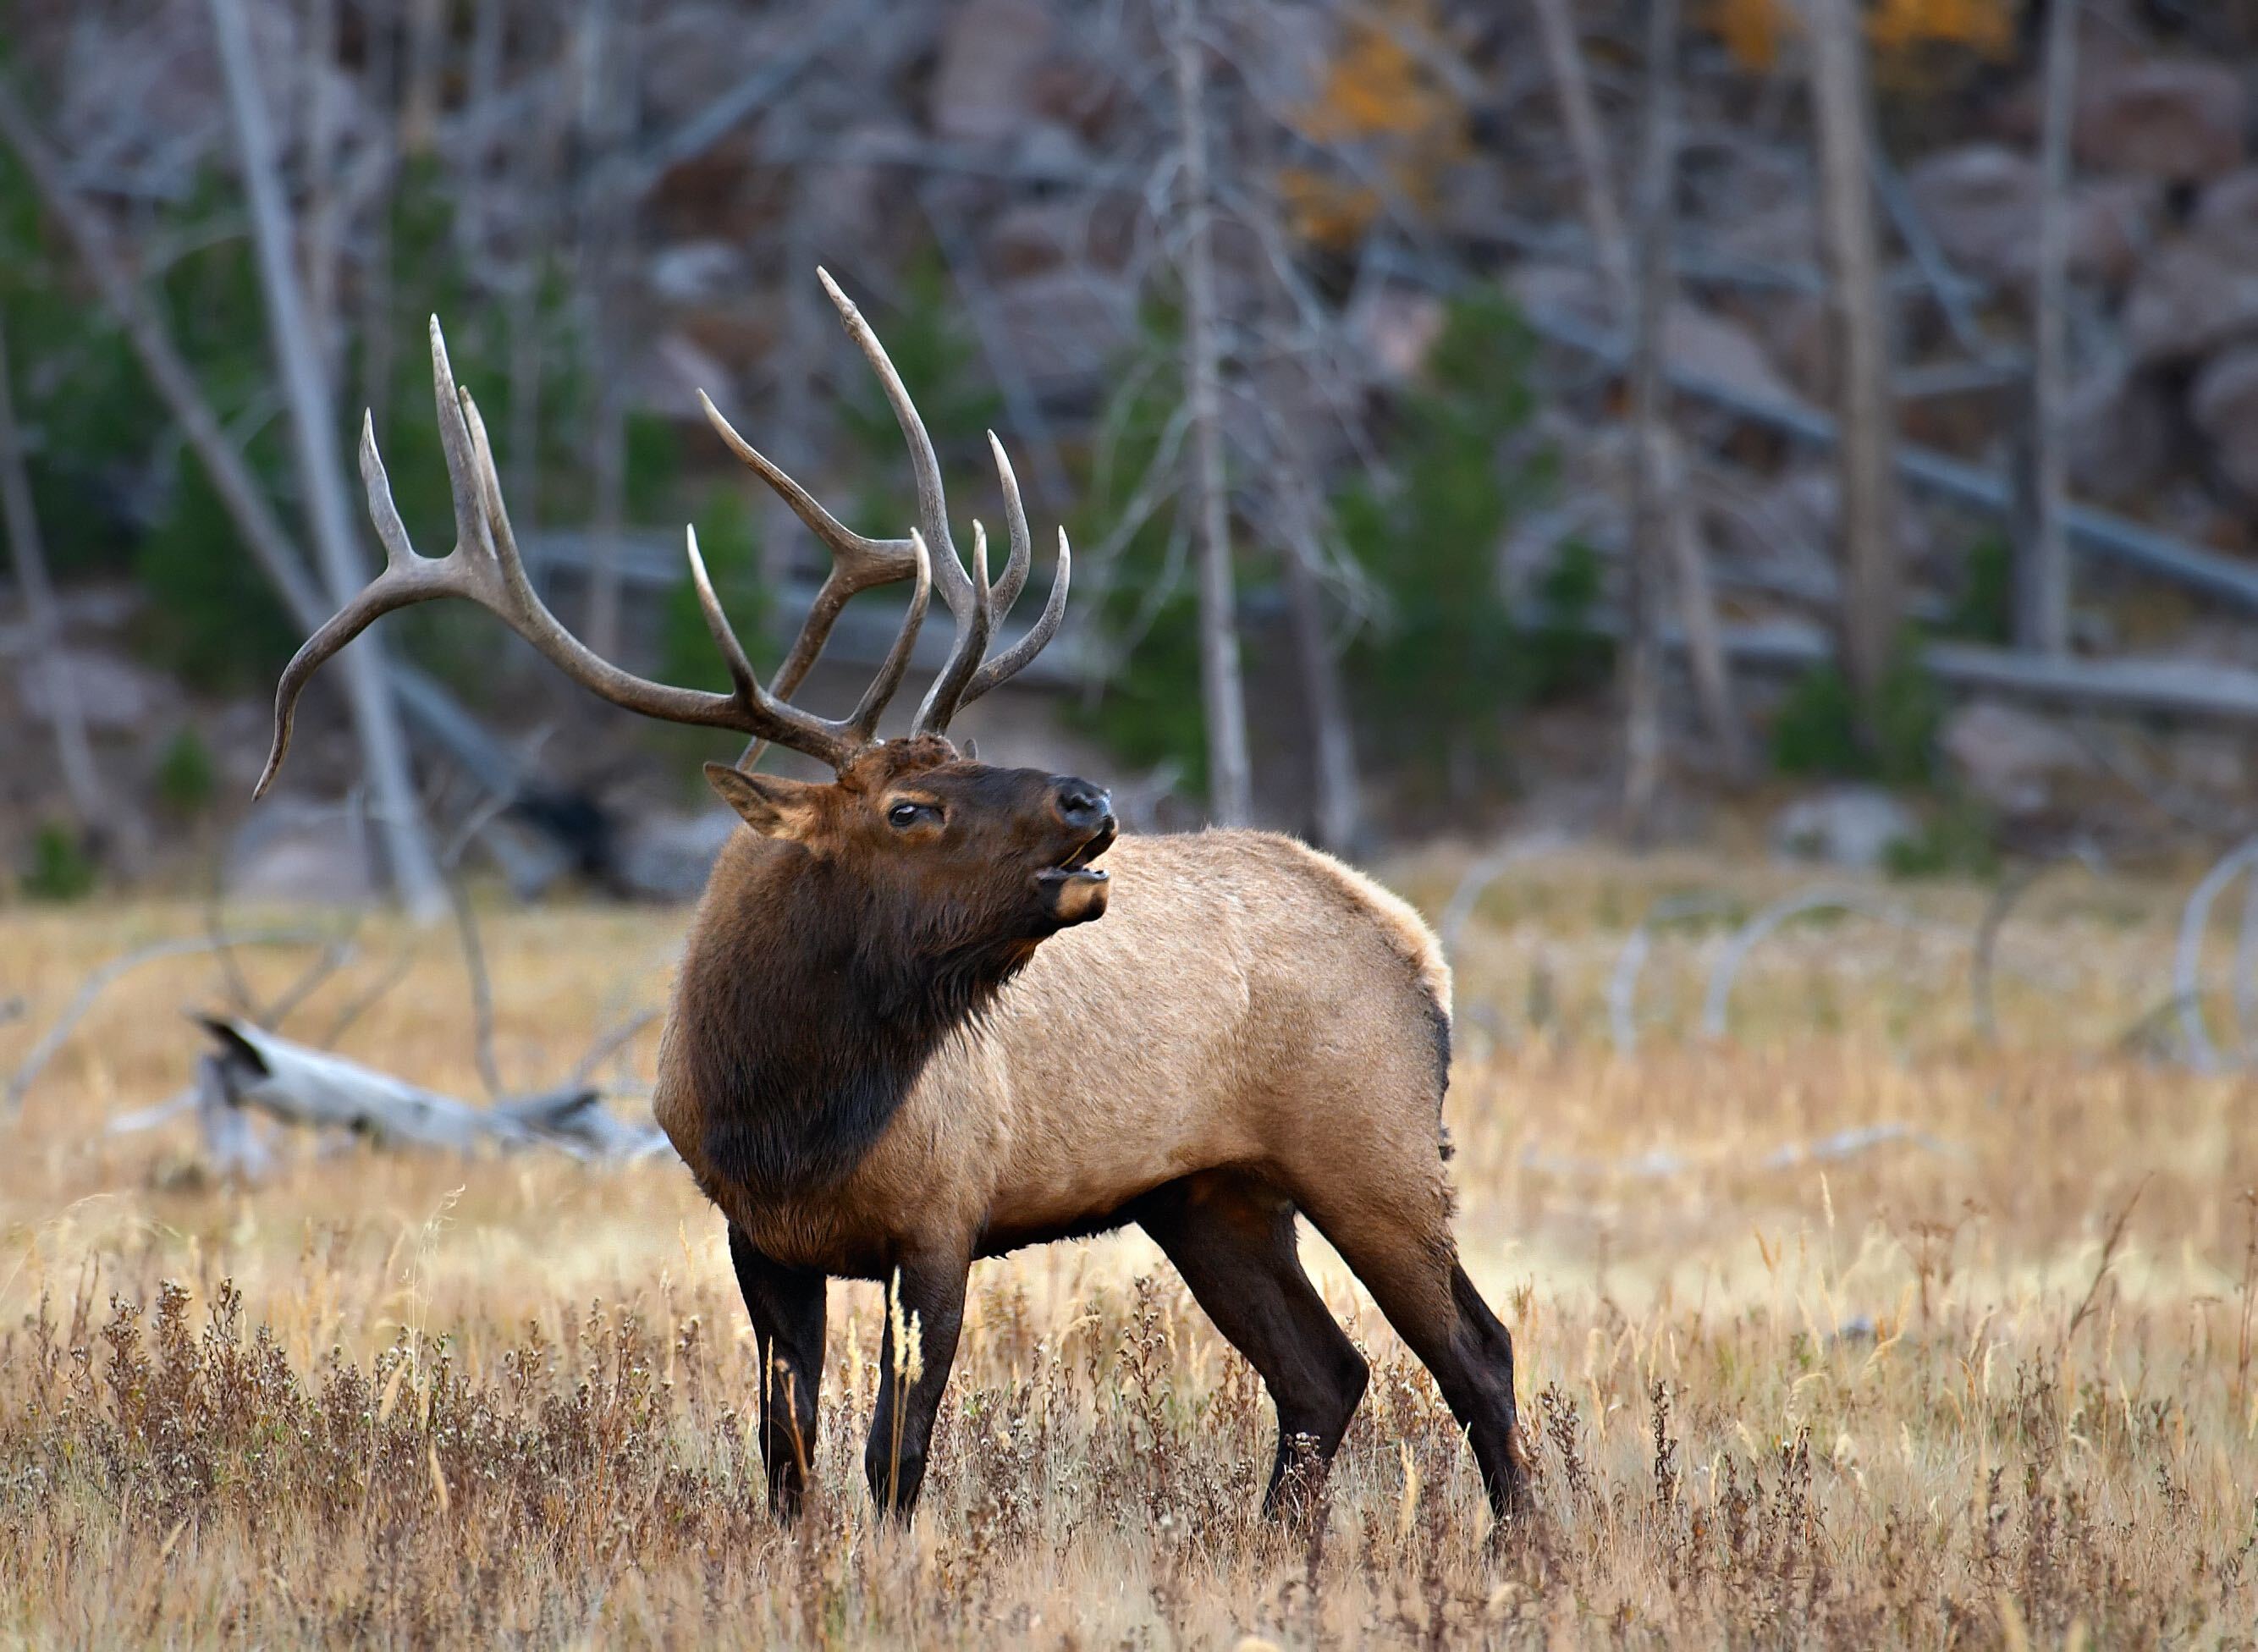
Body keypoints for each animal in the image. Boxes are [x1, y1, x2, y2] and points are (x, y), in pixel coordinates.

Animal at [259, 267, 1535, 1525]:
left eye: (966, 753)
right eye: (909, 808)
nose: (1088, 796)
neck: (790, 1107)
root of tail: (1417, 943)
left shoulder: (941, 1221)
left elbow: (894, 1459)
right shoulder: (758, 1236)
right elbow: (786, 1453)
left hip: (1373, 1144)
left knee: (1475, 1350)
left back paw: (1518, 1548)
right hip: (1205, 1192)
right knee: (1326, 1372)